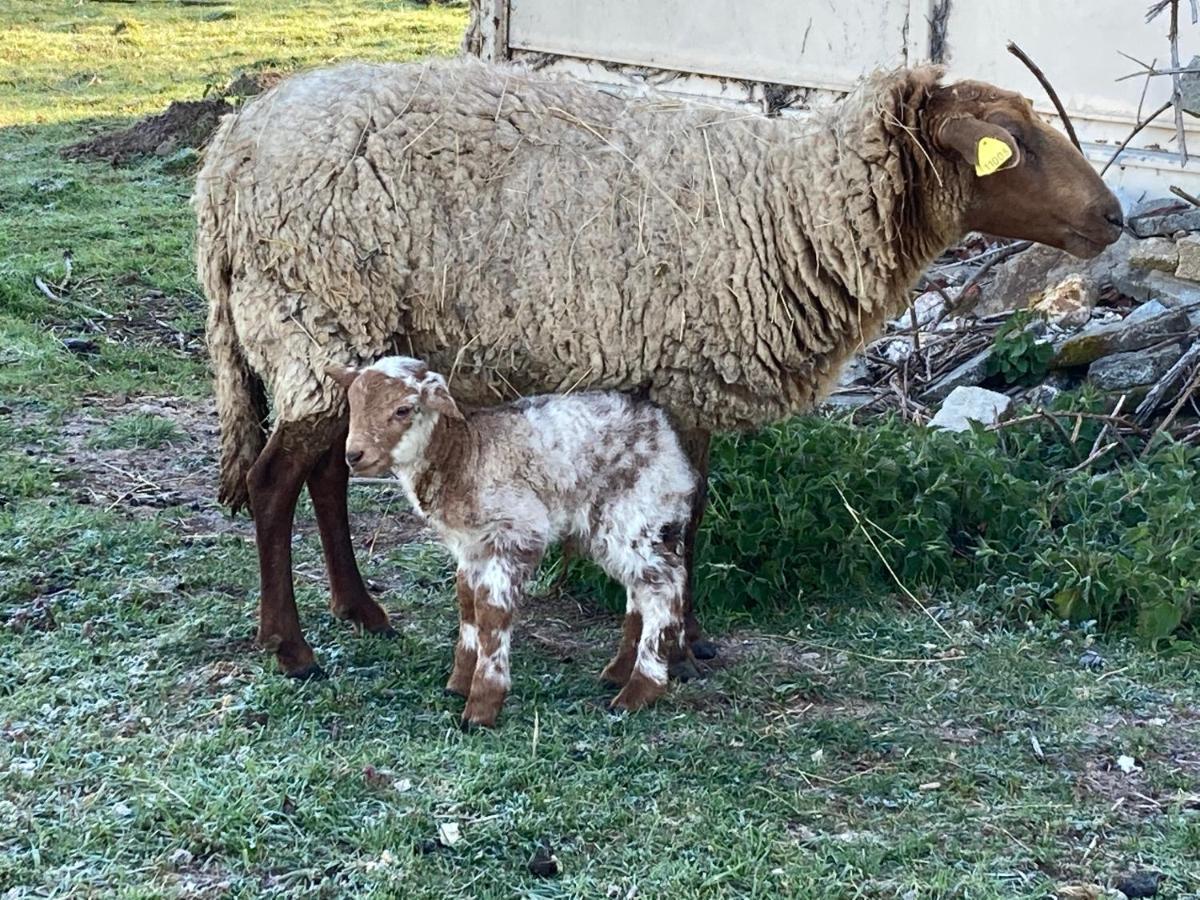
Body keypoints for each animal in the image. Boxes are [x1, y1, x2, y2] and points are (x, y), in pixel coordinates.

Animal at [196, 58, 1123, 676]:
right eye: (1014, 144)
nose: (1114, 216)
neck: (791, 207)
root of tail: (225, 157)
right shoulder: (679, 375)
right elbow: (675, 520)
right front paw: (660, 645)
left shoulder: (690, 382)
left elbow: (696, 512)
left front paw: (690, 635)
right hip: (313, 314)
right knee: (277, 481)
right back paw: (291, 647)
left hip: (339, 341)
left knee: (326, 473)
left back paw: (362, 612)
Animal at [333, 355, 700, 729]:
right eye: (353, 404)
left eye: (403, 410)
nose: (354, 455)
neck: (463, 456)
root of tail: (666, 432)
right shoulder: (470, 547)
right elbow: (467, 604)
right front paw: (459, 682)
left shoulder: (515, 532)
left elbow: (491, 613)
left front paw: (482, 704)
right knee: (641, 587)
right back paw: (619, 672)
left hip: (635, 512)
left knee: (664, 585)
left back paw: (639, 690)